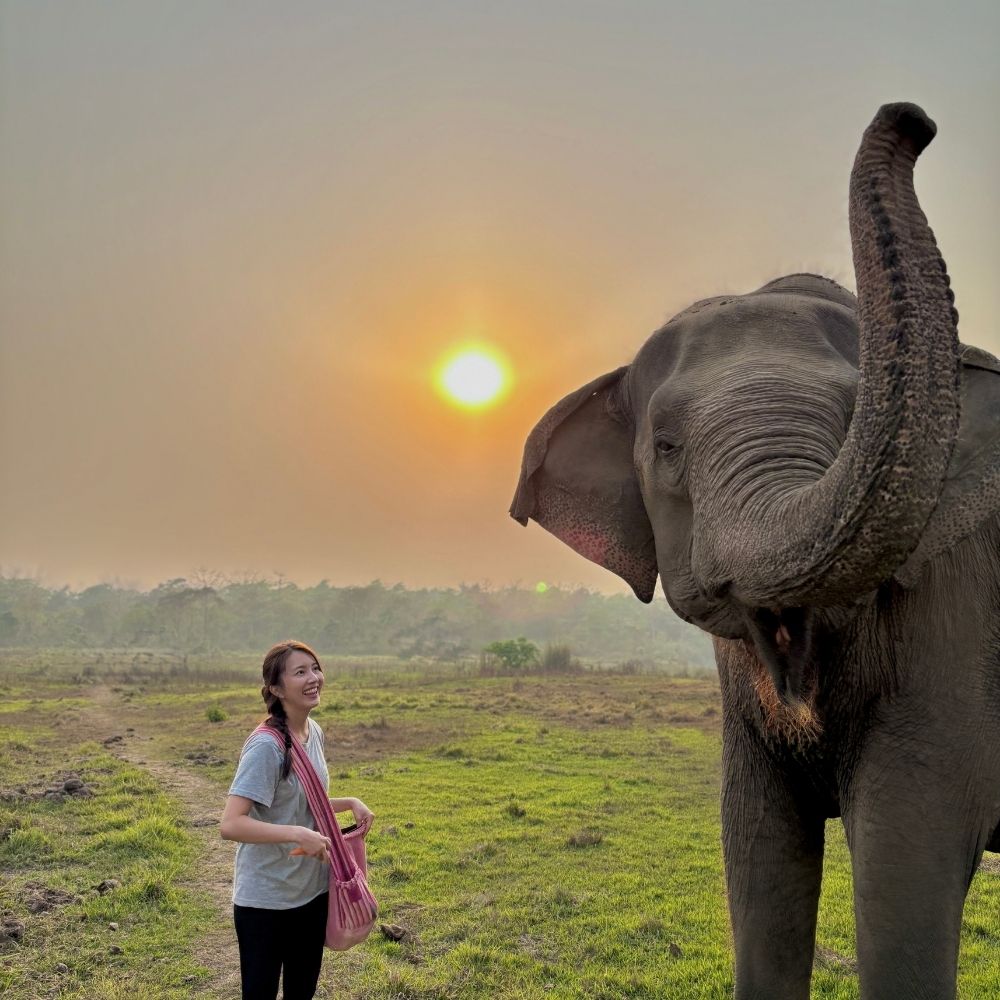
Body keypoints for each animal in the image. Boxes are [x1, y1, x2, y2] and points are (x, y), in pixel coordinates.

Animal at [510, 103, 1000, 999]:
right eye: (667, 447)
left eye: (851, 415)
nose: (912, 119)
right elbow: (758, 852)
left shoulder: (954, 621)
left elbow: (905, 854)